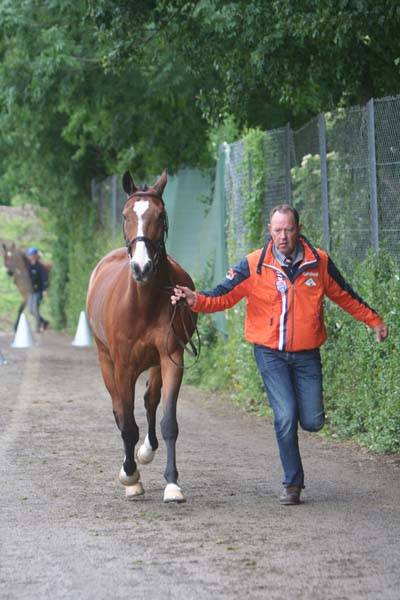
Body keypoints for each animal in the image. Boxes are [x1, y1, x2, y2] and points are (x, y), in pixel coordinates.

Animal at [86, 171, 197, 503]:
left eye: (160, 216)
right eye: (126, 215)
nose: (142, 267)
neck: (143, 303)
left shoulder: (171, 359)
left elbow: (168, 421)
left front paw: (172, 484)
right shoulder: (123, 367)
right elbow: (127, 423)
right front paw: (131, 477)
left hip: (156, 364)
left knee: (150, 401)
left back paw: (146, 451)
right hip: (105, 360)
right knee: (120, 411)